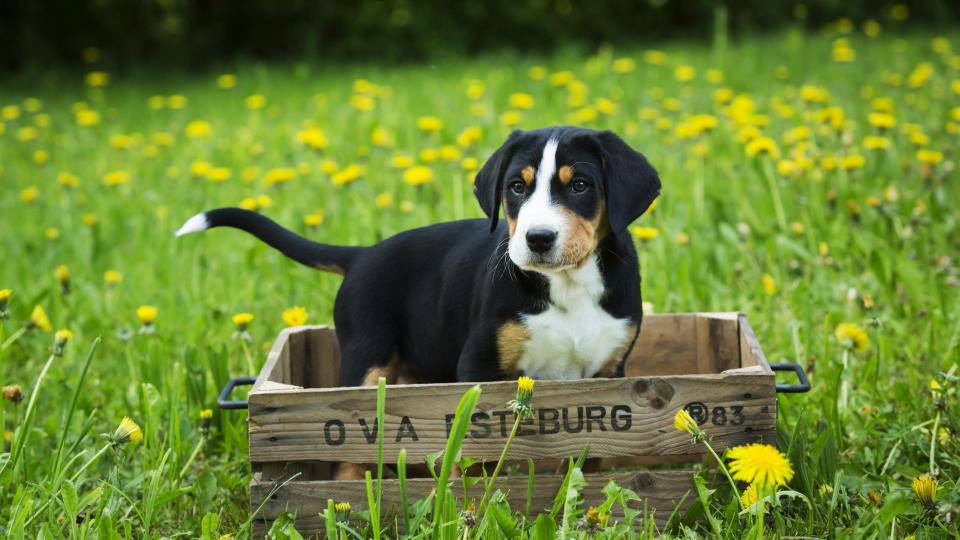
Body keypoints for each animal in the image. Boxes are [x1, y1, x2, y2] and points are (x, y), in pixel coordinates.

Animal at [176, 125, 656, 388]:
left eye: (580, 186)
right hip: (366, 357)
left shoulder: (609, 369)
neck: (569, 285)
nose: (537, 239)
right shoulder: (478, 364)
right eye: (517, 187)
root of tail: (363, 255)